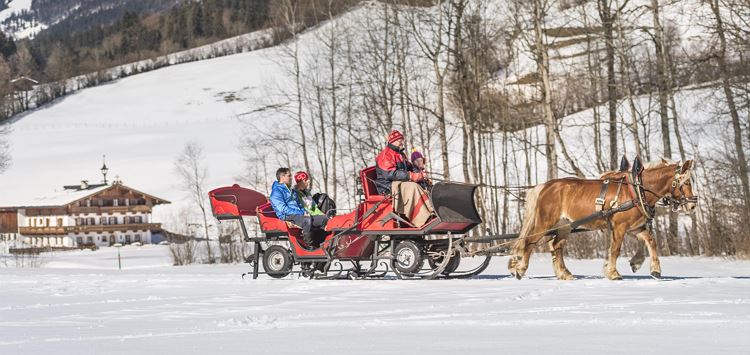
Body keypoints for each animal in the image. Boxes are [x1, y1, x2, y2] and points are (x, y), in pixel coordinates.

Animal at [512, 161, 700, 280]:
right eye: (686, 182)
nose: (692, 205)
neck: (637, 191)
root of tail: (545, 186)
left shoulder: (635, 228)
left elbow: (651, 241)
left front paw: (655, 270)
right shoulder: (619, 227)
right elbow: (615, 250)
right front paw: (613, 273)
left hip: (564, 226)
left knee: (557, 246)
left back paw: (565, 274)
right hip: (545, 222)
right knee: (529, 242)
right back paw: (520, 269)